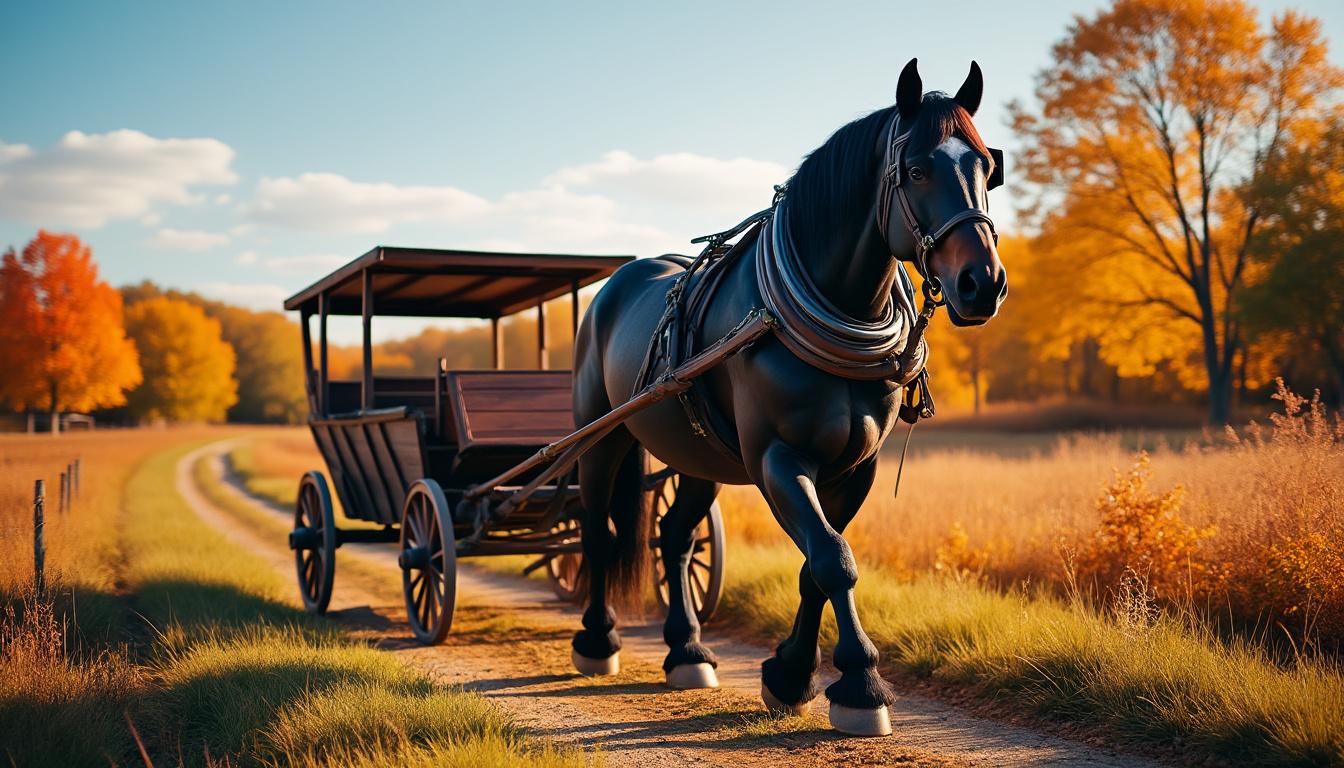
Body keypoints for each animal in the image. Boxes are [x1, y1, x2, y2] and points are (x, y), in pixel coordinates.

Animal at [569, 58, 1007, 737]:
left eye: (989, 166)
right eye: (916, 169)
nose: (982, 283)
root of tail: (618, 280)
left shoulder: (855, 468)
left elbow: (817, 567)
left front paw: (793, 674)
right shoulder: (777, 458)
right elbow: (831, 557)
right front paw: (860, 685)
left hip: (697, 454)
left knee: (674, 535)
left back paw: (686, 649)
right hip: (602, 434)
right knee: (598, 531)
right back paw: (598, 640)